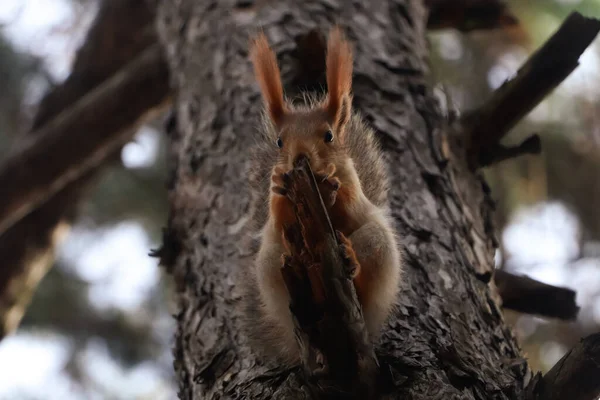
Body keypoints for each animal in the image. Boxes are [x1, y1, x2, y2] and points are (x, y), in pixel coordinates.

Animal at [241, 25, 400, 366]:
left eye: (328, 136)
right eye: (279, 142)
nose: (300, 158)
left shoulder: (352, 183)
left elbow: (350, 203)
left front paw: (330, 185)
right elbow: (278, 215)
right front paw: (281, 186)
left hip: (376, 242)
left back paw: (351, 261)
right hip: (273, 263)